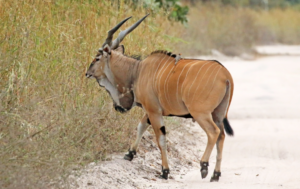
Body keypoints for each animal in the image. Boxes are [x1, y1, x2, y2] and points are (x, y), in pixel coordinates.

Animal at [85, 14, 234, 182]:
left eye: (97, 58)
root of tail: (226, 75)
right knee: (221, 136)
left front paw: (165, 171)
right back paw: (216, 174)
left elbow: (160, 139)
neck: (136, 71)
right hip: (218, 114)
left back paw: (204, 167)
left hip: (201, 114)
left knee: (213, 133)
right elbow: (141, 126)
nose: (87, 73)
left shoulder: (154, 111)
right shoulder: (150, 111)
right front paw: (129, 154)